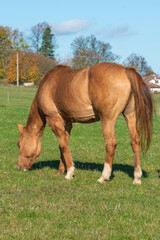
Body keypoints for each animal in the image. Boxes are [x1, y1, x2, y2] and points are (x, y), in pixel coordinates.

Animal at [16, 62, 152, 185]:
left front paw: (69, 172)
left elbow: (64, 146)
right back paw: (136, 177)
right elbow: (63, 145)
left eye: (18, 143)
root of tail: (125, 69)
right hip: (130, 115)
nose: (19, 167)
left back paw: (103, 176)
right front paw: (61, 170)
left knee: (111, 144)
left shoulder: (54, 120)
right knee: (135, 142)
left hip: (108, 120)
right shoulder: (67, 123)